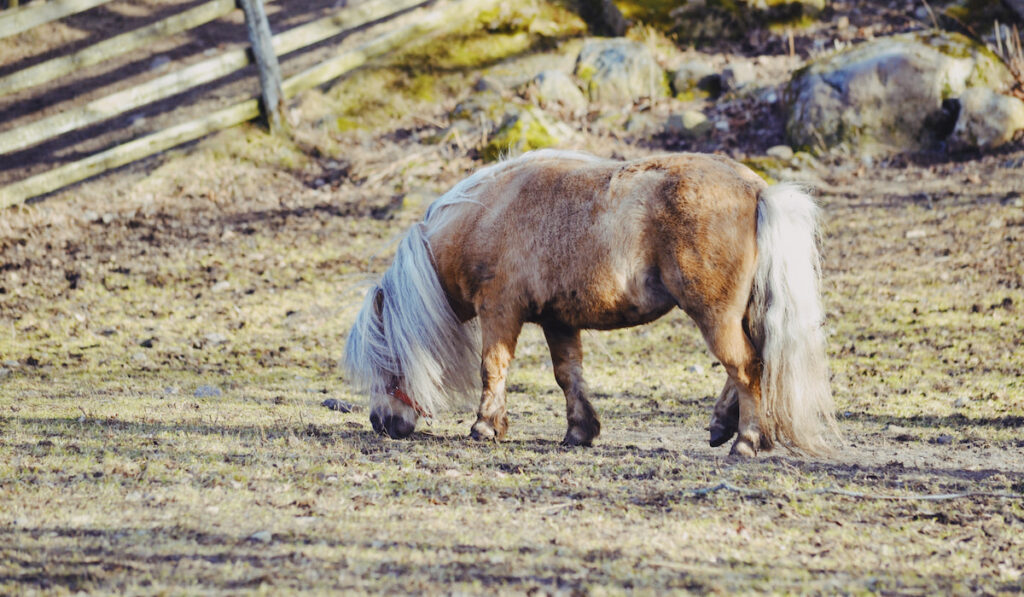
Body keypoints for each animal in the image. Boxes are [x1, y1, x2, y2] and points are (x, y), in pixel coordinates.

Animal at [344, 150, 839, 458]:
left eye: (386, 362)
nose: (381, 423)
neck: (486, 216)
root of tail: (757, 190)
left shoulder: (500, 311)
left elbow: (493, 368)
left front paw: (485, 426)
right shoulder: (557, 321)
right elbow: (568, 375)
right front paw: (580, 431)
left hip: (714, 314)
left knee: (746, 367)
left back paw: (746, 441)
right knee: (748, 363)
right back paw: (723, 425)